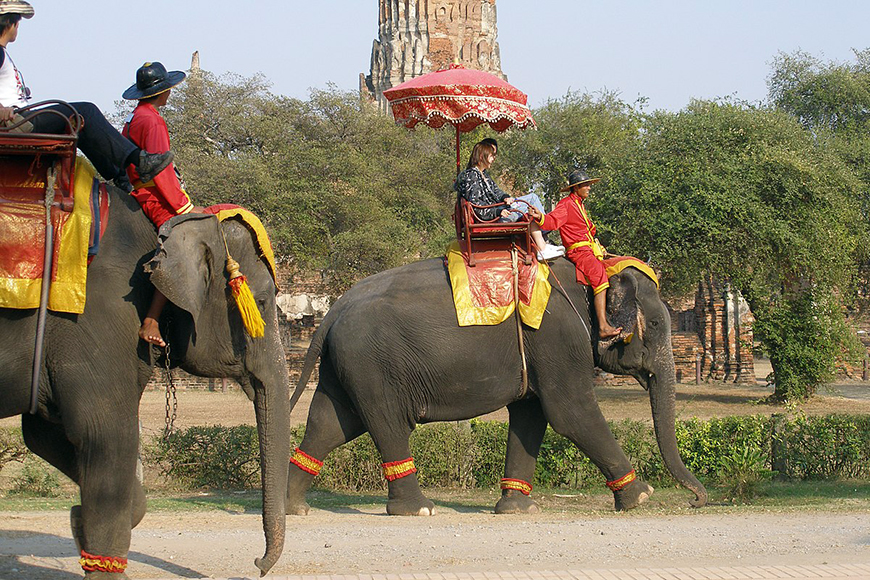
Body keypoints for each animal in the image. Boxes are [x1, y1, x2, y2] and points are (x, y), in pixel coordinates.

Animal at [0, 189, 292, 576]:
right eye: (260, 302)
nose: (257, 564)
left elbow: (44, 434)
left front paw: (78, 523)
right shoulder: (98, 321)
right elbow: (105, 435)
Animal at [286, 258, 708, 516]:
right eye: (657, 324)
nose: (696, 501)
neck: (590, 275)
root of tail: (334, 309)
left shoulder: (540, 350)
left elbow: (532, 415)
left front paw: (519, 510)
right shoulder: (557, 338)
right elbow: (571, 413)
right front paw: (640, 498)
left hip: (348, 365)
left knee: (332, 423)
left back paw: (294, 507)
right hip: (375, 364)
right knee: (387, 424)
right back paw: (419, 509)